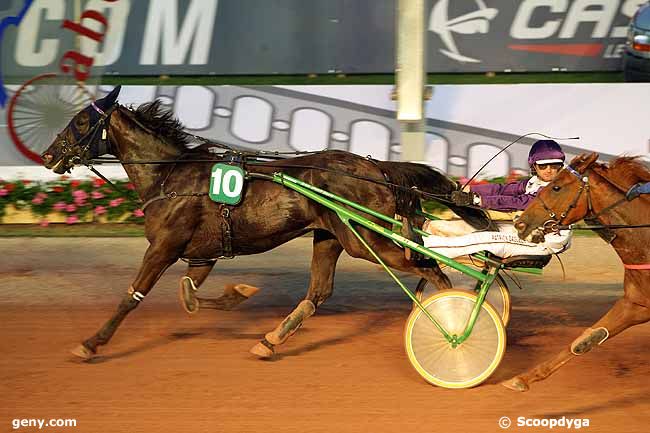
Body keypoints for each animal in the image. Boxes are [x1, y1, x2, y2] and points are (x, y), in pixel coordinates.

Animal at [40, 86, 488, 360]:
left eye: (81, 122)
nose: (48, 155)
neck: (170, 176)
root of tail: (376, 167)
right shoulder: (201, 255)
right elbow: (192, 293)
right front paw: (236, 294)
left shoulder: (163, 247)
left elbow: (132, 296)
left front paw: (91, 343)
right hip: (330, 237)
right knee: (319, 293)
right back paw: (270, 341)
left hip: (365, 240)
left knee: (431, 269)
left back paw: (457, 323)